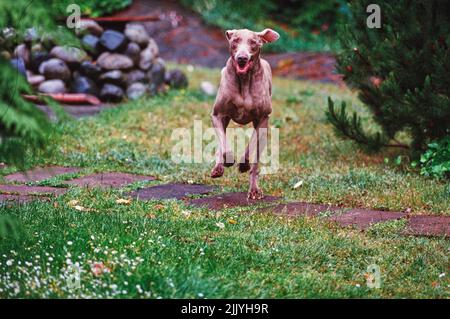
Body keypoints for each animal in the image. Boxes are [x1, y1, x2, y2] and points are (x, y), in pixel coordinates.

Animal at [210, 28, 278, 200]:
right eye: (235, 40)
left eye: (253, 42)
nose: (242, 58)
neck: (244, 79)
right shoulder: (217, 115)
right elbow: (224, 144)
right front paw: (227, 160)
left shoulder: (262, 120)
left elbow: (251, 147)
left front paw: (243, 164)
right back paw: (218, 168)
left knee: (256, 161)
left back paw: (254, 189)